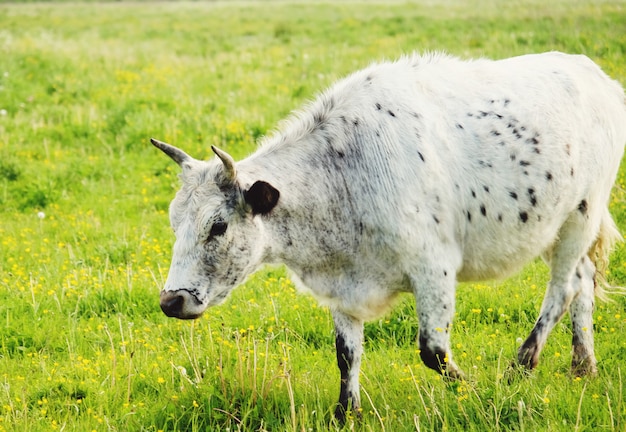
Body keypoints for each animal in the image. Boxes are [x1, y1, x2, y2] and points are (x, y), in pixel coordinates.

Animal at [152, 51, 624, 422]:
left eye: (218, 225)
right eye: (174, 222)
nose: (171, 301)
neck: (342, 173)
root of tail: (593, 74)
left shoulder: (434, 267)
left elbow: (433, 350)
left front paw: (474, 388)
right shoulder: (343, 285)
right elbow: (346, 353)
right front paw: (347, 413)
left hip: (581, 214)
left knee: (563, 288)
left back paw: (521, 365)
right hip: (554, 227)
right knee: (583, 279)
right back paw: (583, 367)